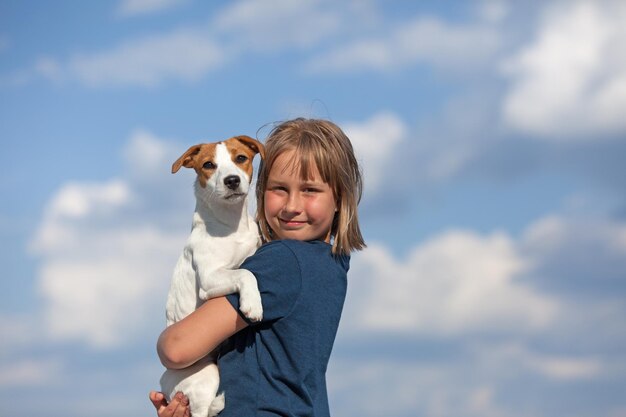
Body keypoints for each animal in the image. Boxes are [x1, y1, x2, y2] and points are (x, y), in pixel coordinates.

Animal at [160, 135, 264, 416]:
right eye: (208, 164)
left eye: (241, 158)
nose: (232, 180)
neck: (232, 225)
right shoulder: (209, 279)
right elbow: (245, 272)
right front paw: (253, 305)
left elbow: (246, 263)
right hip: (207, 374)